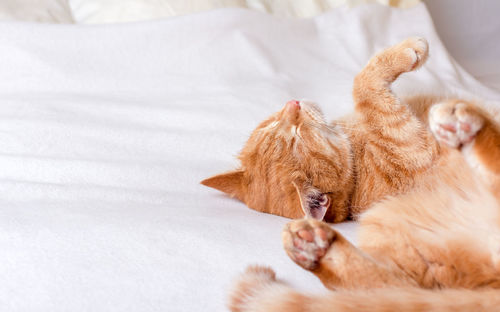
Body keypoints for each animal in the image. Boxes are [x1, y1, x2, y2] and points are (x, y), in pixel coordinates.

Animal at [222, 39, 500, 312]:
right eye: (299, 135)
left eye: (273, 124)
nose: (293, 104)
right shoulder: (414, 147)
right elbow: (364, 87)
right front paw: (408, 50)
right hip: (384, 223)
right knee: (388, 291)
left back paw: (311, 247)